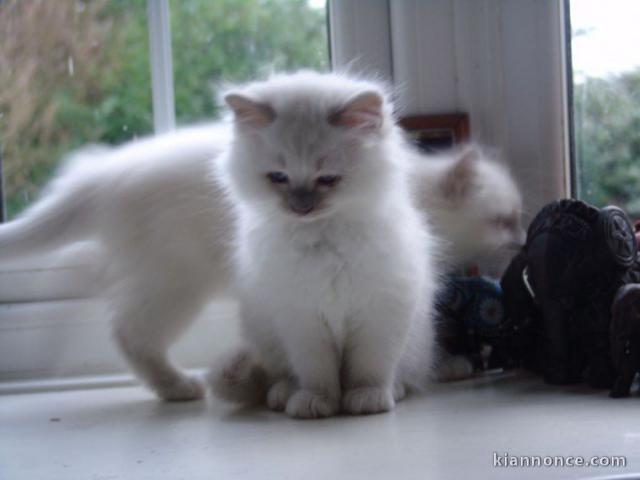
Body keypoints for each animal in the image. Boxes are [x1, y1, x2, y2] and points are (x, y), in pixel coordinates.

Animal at [210, 70, 440, 416]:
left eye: (328, 179)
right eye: (278, 177)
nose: (301, 207)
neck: (323, 241)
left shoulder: (379, 313)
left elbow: (369, 368)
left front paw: (367, 399)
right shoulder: (302, 319)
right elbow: (317, 372)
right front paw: (317, 403)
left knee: (401, 374)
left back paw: (394, 391)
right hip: (266, 334)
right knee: (279, 377)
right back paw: (284, 395)